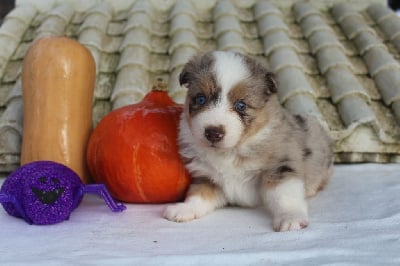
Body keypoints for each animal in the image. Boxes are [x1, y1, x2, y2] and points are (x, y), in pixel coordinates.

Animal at [162, 51, 334, 232]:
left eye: (241, 105)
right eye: (201, 99)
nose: (213, 133)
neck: (231, 151)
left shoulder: (280, 166)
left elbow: (284, 195)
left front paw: (291, 217)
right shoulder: (208, 177)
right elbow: (198, 194)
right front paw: (184, 209)